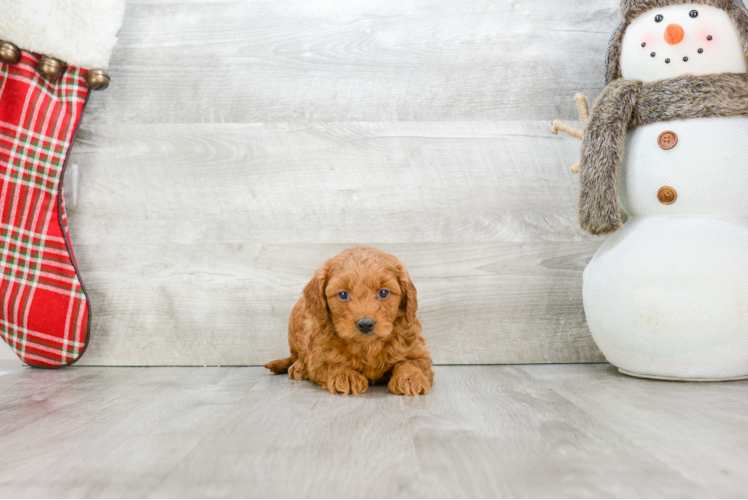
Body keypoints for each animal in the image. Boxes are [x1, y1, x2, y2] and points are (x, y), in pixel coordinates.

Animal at [268, 246, 432, 394]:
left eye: (384, 292)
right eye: (343, 294)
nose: (365, 324)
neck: (367, 345)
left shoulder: (418, 351)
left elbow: (411, 362)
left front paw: (410, 377)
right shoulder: (318, 359)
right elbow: (333, 364)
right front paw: (346, 375)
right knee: (297, 356)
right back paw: (300, 367)